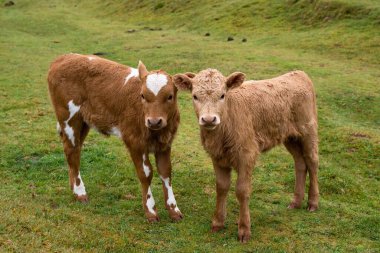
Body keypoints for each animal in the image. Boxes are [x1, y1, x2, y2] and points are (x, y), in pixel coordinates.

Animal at [46, 53, 183, 221]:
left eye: (170, 96)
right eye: (142, 96)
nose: (154, 121)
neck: (156, 132)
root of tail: (64, 57)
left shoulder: (165, 143)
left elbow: (166, 172)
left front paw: (173, 209)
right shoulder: (134, 140)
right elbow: (145, 174)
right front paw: (150, 211)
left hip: (83, 122)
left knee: (75, 150)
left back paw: (74, 189)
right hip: (68, 118)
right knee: (72, 152)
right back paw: (80, 192)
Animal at [174, 68, 320, 242]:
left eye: (222, 95)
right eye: (195, 96)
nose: (209, 119)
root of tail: (298, 73)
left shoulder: (247, 154)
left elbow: (242, 191)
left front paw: (244, 229)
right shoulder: (217, 157)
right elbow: (221, 187)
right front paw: (218, 222)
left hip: (308, 130)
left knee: (312, 162)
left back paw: (313, 202)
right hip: (291, 137)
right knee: (300, 163)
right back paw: (296, 202)